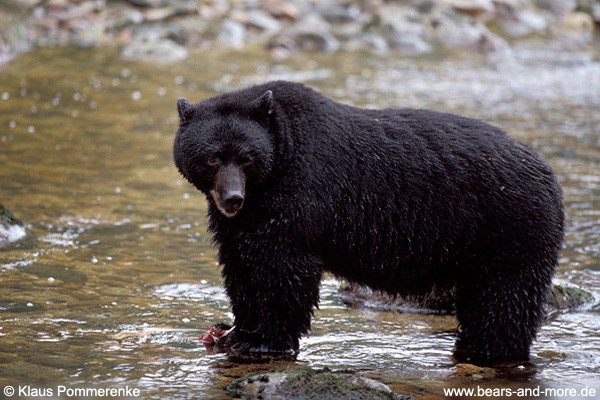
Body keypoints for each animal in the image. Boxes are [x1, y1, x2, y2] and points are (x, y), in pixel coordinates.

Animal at [171, 79, 564, 364]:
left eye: (246, 158)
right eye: (212, 158)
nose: (232, 199)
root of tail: (549, 176)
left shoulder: (300, 197)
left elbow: (286, 268)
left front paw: (266, 342)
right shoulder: (241, 223)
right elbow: (240, 267)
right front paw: (238, 331)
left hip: (512, 231)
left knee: (504, 302)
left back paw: (494, 351)